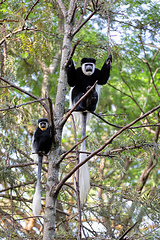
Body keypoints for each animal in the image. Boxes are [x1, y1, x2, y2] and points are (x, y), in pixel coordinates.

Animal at [66, 54, 111, 204]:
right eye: (87, 65)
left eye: (92, 64)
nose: (89, 67)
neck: (87, 74)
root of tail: (84, 111)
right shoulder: (78, 72)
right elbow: (71, 82)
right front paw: (69, 62)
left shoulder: (96, 73)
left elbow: (102, 80)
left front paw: (108, 60)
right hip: (76, 101)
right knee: (77, 92)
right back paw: (82, 101)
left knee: (94, 94)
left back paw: (91, 99)